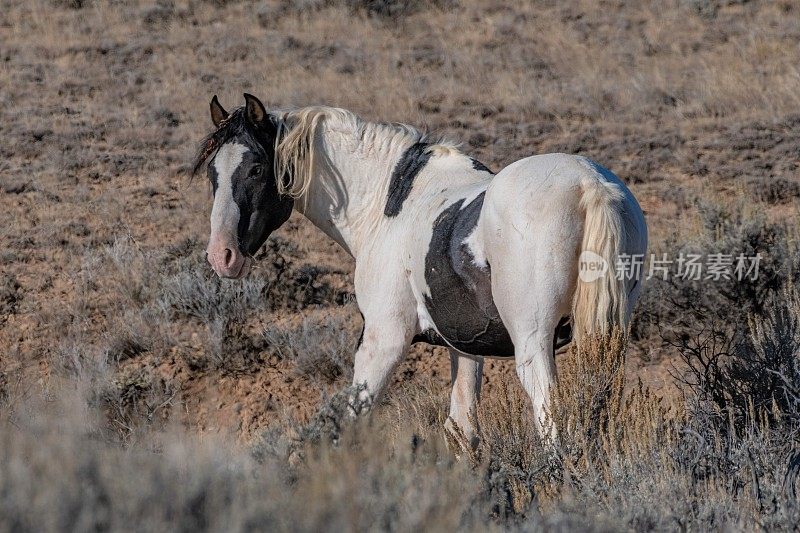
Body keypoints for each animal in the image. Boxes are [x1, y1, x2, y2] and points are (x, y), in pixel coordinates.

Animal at [194, 93, 648, 442]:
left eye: (256, 168)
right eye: (213, 172)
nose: (221, 256)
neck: (389, 202)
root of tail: (589, 186)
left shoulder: (384, 338)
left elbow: (350, 420)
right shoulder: (464, 349)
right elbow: (462, 430)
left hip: (534, 345)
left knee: (552, 427)